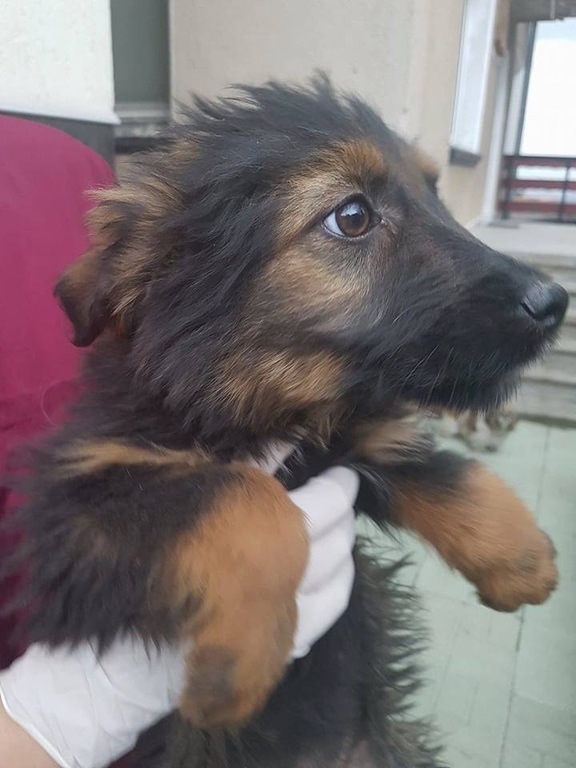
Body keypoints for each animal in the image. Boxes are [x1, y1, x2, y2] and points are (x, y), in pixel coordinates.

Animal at [8, 77, 567, 767]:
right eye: (351, 217)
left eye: (435, 194)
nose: (555, 302)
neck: (267, 406)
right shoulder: (77, 502)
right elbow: (248, 499)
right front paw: (236, 666)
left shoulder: (353, 442)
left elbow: (445, 471)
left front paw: (522, 560)